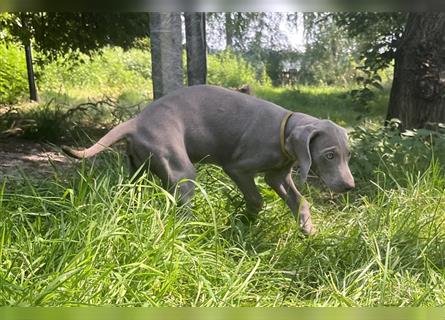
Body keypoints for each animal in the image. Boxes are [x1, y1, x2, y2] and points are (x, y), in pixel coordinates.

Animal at [62, 85, 354, 235]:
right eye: (329, 155)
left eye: (348, 155)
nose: (349, 187)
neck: (283, 130)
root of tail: (135, 121)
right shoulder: (237, 168)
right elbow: (256, 198)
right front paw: (244, 222)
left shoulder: (277, 175)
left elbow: (299, 200)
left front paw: (308, 229)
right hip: (181, 170)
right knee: (181, 207)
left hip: (138, 170)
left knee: (133, 192)